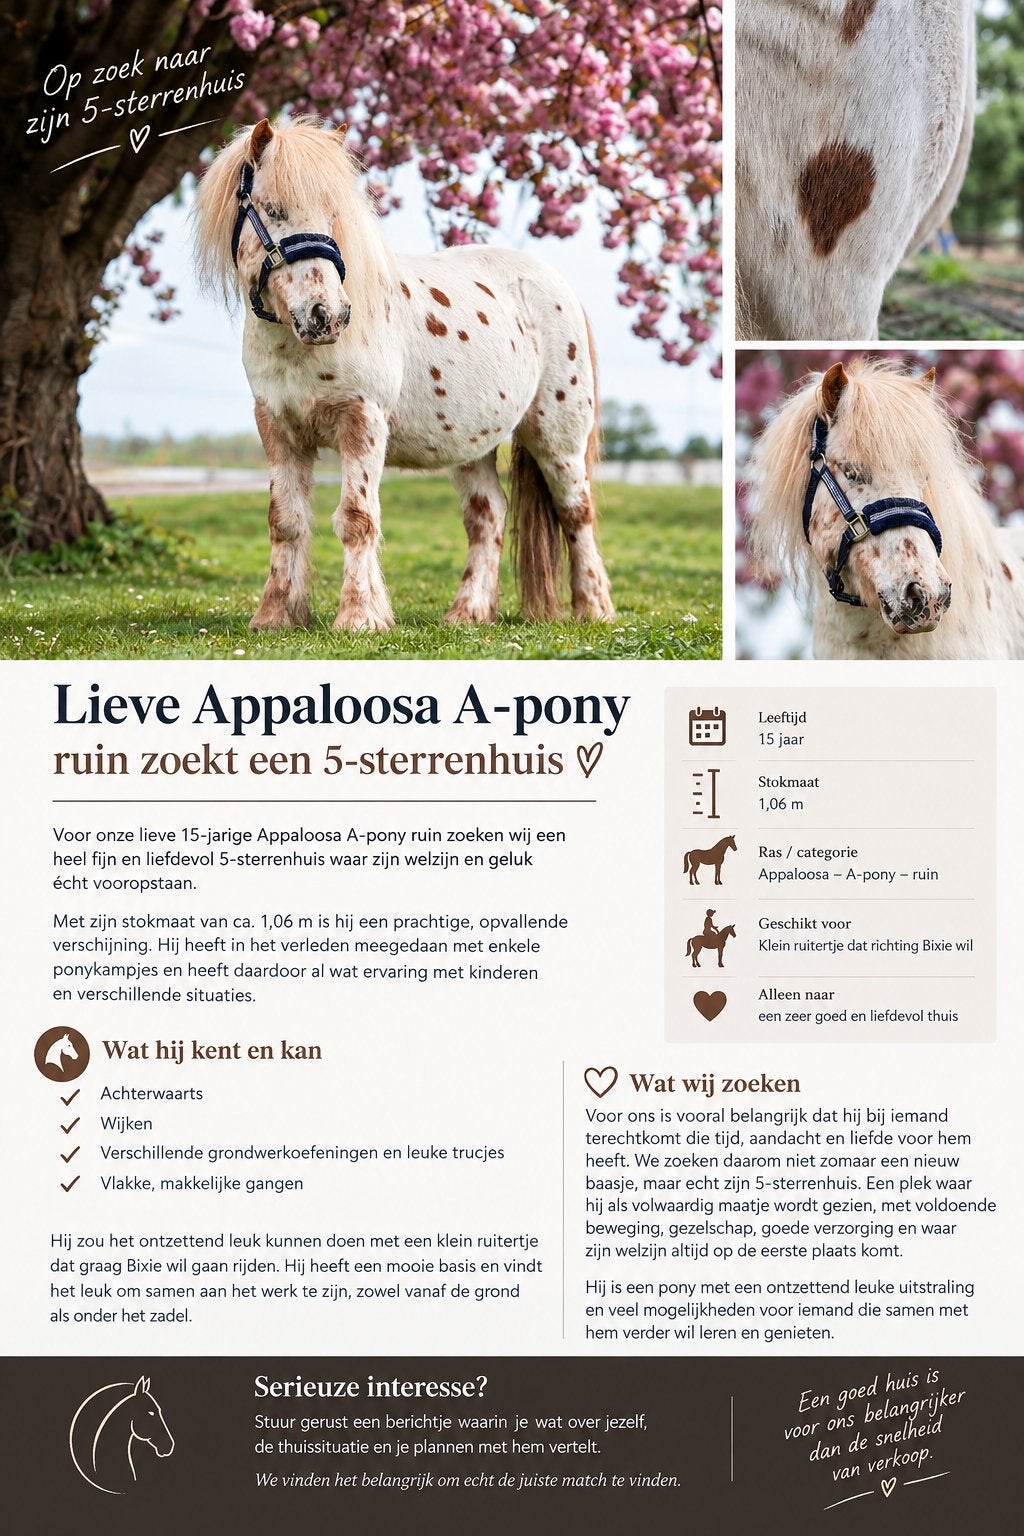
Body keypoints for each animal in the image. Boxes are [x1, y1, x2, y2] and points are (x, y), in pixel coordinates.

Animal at [193, 118, 614, 631]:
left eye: (332, 215)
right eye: (273, 210)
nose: (327, 315)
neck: (296, 349)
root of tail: (554, 283)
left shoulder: (362, 421)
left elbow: (357, 519)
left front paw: (359, 617)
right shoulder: (277, 427)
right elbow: (286, 522)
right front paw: (276, 616)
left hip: (558, 436)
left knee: (577, 513)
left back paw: (594, 609)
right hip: (471, 446)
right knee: (488, 515)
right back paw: (468, 613)